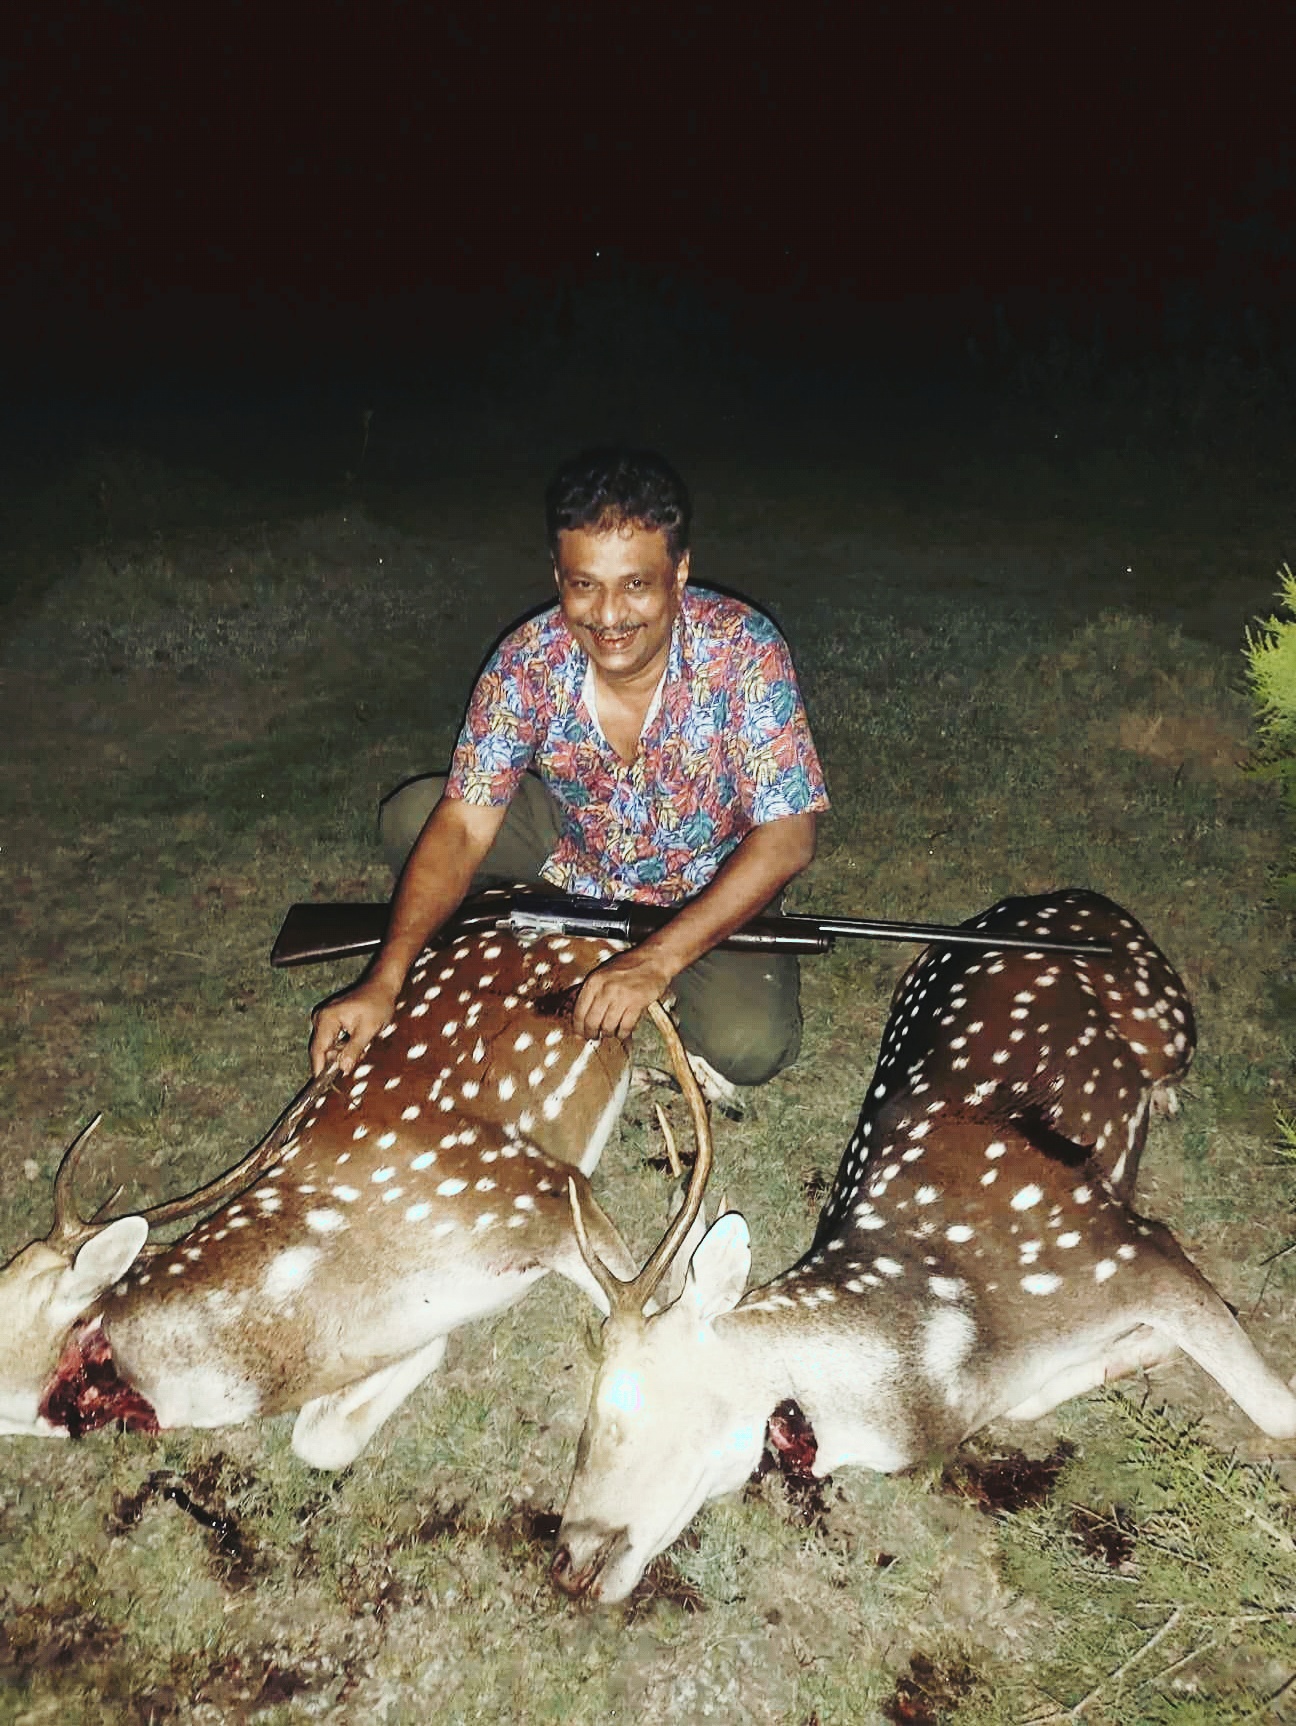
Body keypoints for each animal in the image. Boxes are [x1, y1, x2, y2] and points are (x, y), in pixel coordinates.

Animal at [552, 889, 1296, 1606]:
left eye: (618, 1404)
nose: (565, 1559)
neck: (945, 1364)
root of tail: (1078, 896)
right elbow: (1036, 1400)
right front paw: (1150, 1346)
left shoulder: (1126, 1244)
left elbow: (1277, 1411)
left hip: (1165, 1012)